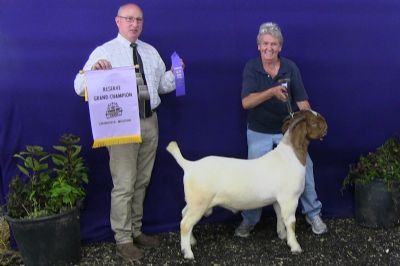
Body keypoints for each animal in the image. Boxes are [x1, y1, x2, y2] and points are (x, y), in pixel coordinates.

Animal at [166, 109, 328, 260]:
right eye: (314, 123)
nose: (326, 126)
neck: (290, 156)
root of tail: (190, 166)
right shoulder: (290, 199)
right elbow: (290, 221)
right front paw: (294, 246)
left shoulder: (278, 200)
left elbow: (279, 216)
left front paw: (282, 235)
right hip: (199, 203)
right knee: (185, 224)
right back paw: (188, 253)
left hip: (194, 202)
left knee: (183, 215)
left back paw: (192, 242)